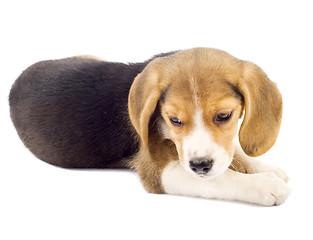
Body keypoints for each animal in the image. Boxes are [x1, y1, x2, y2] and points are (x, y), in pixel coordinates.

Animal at [9, 47, 288, 205]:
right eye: (174, 120)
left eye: (224, 116)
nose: (199, 166)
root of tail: (16, 80)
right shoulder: (158, 169)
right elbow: (221, 179)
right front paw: (265, 185)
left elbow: (234, 152)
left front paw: (266, 168)